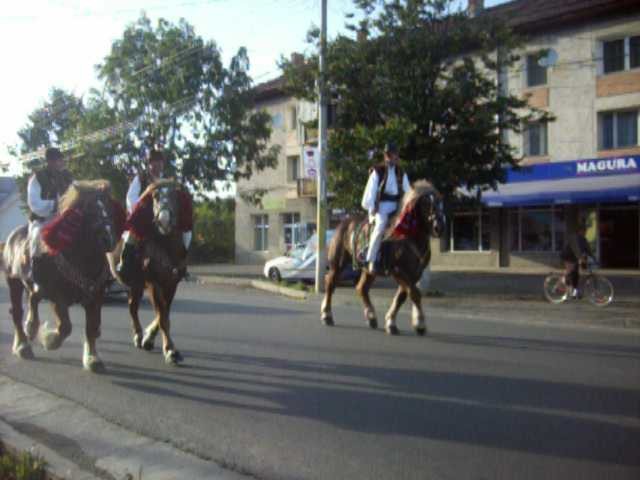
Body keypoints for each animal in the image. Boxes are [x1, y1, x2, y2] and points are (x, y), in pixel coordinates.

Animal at [2, 180, 122, 372]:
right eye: (89, 210)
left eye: (110, 208)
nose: (108, 239)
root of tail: (11, 238)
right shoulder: (58, 298)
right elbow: (65, 327)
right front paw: (49, 340)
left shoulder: (96, 297)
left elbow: (92, 327)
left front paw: (92, 359)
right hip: (14, 282)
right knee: (17, 312)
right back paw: (23, 345)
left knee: (33, 299)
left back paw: (31, 327)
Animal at [109, 179, 192, 364]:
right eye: (155, 196)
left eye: (176, 196)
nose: (164, 219)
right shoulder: (154, 283)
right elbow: (162, 316)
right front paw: (170, 350)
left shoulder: (171, 283)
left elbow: (164, 313)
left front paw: (151, 339)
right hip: (136, 284)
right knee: (133, 307)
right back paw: (138, 335)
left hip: (139, 285)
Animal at [320, 179, 444, 334]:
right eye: (426, 203)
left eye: (439, 201)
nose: (439, 227)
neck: (408, 236)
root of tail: (343, 223)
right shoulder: (399, 271)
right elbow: (414, 294)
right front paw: (420, 323)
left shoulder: (414, 274)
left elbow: (403, 296)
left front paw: (392, 322)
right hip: (338, 265)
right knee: (330, 284)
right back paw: (327, 316)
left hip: (369, 271)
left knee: (362, 288)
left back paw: (371, 317)